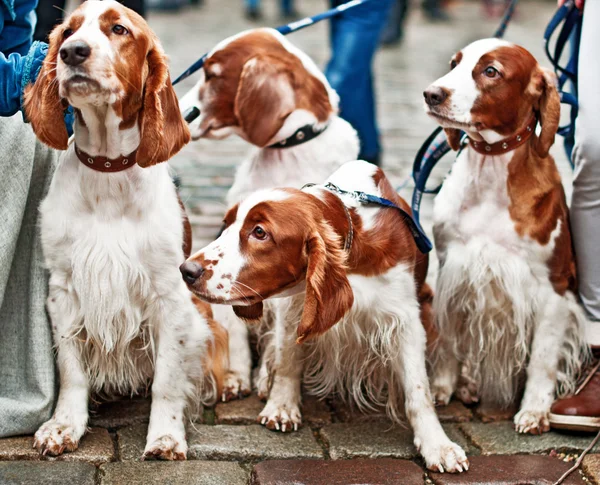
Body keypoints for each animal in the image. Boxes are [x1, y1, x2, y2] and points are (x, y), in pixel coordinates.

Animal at [22, 1, 226, 460]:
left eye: (119, 29)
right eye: (67, 32)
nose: (73, 52)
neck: (107, 173)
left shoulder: (170, 294)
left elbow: (167, 377)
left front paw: (166, 436)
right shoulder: (63, 289)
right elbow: (71, 368)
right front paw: (64, 426)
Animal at [178, 27, 358, 400]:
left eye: (212, 76)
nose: (182, 112)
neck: (283, 154)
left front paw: (268, 377)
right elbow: (235, 318)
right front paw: (236, 374)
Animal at [182, 161, 468, 470]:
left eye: (259, 232)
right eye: (226, 224)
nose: (187, 270)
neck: (354, 245)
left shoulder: (404, 319)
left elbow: (418, 390)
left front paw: (438, 445)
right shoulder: (295, 308)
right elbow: (286, 361)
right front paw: (281, 407)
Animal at [424, 36, 588, 432]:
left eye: (491, 71)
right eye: (454, 63)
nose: (431, 94)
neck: (490, 172)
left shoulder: (553, 288)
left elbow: (543, 356)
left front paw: (535, 410)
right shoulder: (453, 268)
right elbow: (449, 338)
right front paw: (442, 388)